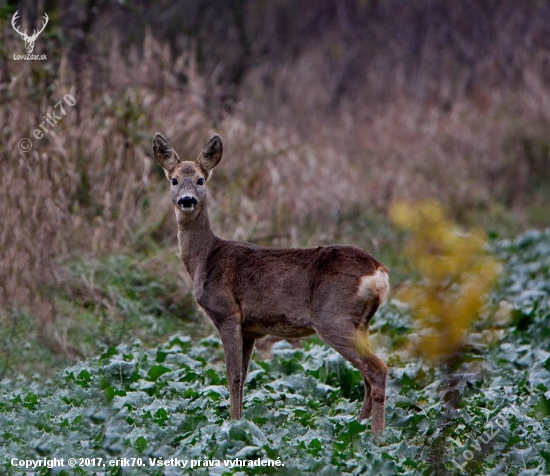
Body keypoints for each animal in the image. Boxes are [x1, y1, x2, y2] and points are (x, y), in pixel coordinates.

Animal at [153, 132, 390, 434]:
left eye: (200, 180)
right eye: (173, 180)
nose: (186, 200)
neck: (204, 259)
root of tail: (378, 271)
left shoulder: (226, 313)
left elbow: (232, 375)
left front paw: (233, 424)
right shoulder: (250, 329)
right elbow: (243, 375)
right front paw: (240, 421)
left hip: (333, 317)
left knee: (377, 369)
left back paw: (376, 437)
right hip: (361, 323)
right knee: (367, 374)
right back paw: (355, 428)